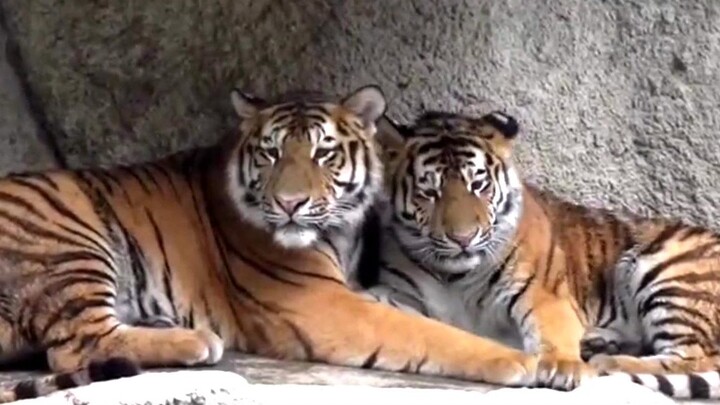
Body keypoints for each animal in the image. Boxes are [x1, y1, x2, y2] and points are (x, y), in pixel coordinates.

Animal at [0, 85, 586, 402]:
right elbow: (428, 333)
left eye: (324, 153)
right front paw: (515, 360)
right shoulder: (317, 302)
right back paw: (194, 340)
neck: (339, 231)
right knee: (78, 343)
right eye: (271, 153)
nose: (288, 204)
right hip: (70, 229)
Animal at [360, 108, 720, 400]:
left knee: (696, 357)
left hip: (667, 270)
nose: (463, 238)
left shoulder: (544, 294)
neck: (456, 275)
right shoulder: (401, 292)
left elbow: (552, 331)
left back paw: (607, 360)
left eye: (479, 185)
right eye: (429, 192)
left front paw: (563, 367)